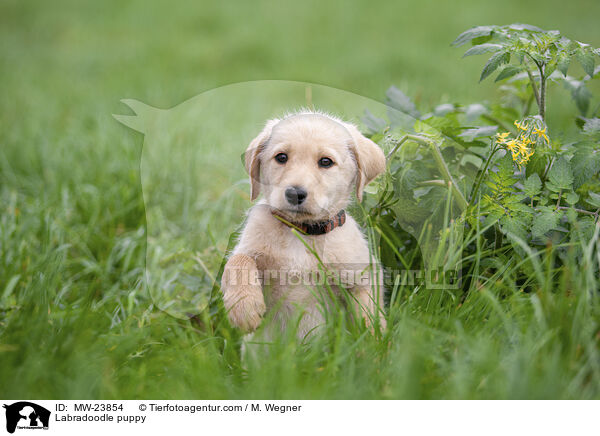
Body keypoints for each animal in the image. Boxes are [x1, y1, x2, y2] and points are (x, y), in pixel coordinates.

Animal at [220, 110, 384, 338]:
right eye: (281, 157)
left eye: (326, 162)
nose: (294, 193)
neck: (302, 231)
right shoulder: (249, 248)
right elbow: (238, 262)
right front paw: (244, 308)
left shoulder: (361, 276)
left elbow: (369, 313)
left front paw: (376, 343)